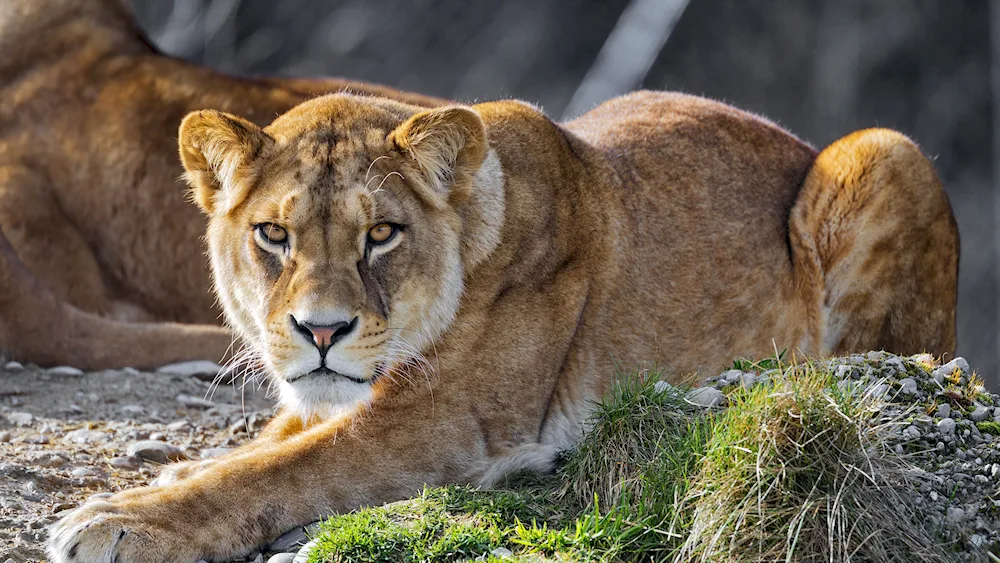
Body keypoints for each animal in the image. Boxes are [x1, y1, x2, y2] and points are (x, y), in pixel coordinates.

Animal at [46, 90, 957, 561]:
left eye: (382, 234)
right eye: (273, 234)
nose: (320, 331)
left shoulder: (452, 424)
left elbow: (278, 472)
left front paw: (122, 521)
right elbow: (260, 448)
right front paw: (162, 480)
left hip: (886, 149)